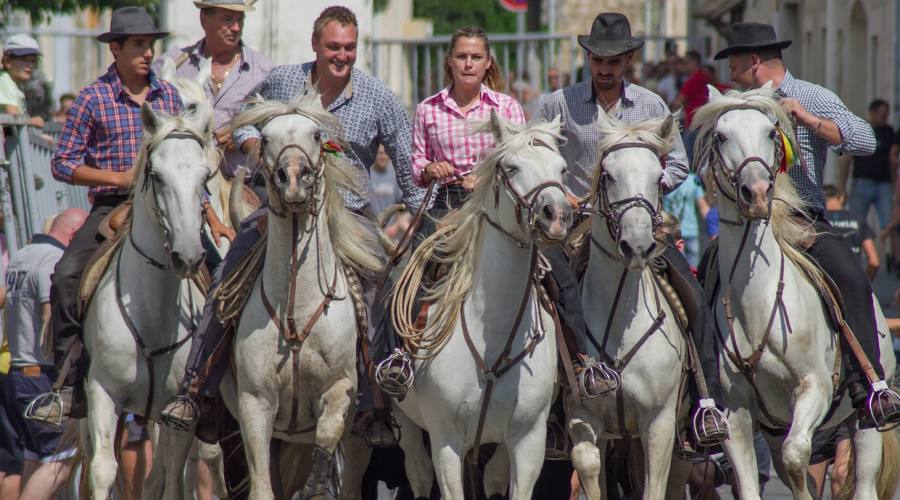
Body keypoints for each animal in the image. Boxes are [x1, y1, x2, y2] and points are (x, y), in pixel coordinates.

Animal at [81, 102, 214, 500]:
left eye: (206, 176)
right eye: (156, 175)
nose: (188, 256)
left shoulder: (179, 413)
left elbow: (171, 482)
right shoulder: (102, 391)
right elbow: (103, 470)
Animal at [223, 92, 384, 498]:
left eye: (316, 135)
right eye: (265, 138)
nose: (294, 177)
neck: (297, 306)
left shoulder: (341, 386)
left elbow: (329, 429)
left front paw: (316, 483)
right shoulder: (254, 403)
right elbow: (262, 485)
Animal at [390, 112, 572, 500]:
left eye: (562, 169)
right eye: (512, 167)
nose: (556, 215)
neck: (493, 343)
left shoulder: (527, 442)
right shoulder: (446, 441)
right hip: (405, 419)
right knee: (417, 471)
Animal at [568, 111, 688, 498]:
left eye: (658, 177)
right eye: (608, 174)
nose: (636, 246)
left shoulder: (659, 423)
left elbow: (654, 486)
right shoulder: (584, 414)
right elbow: (588, 465)